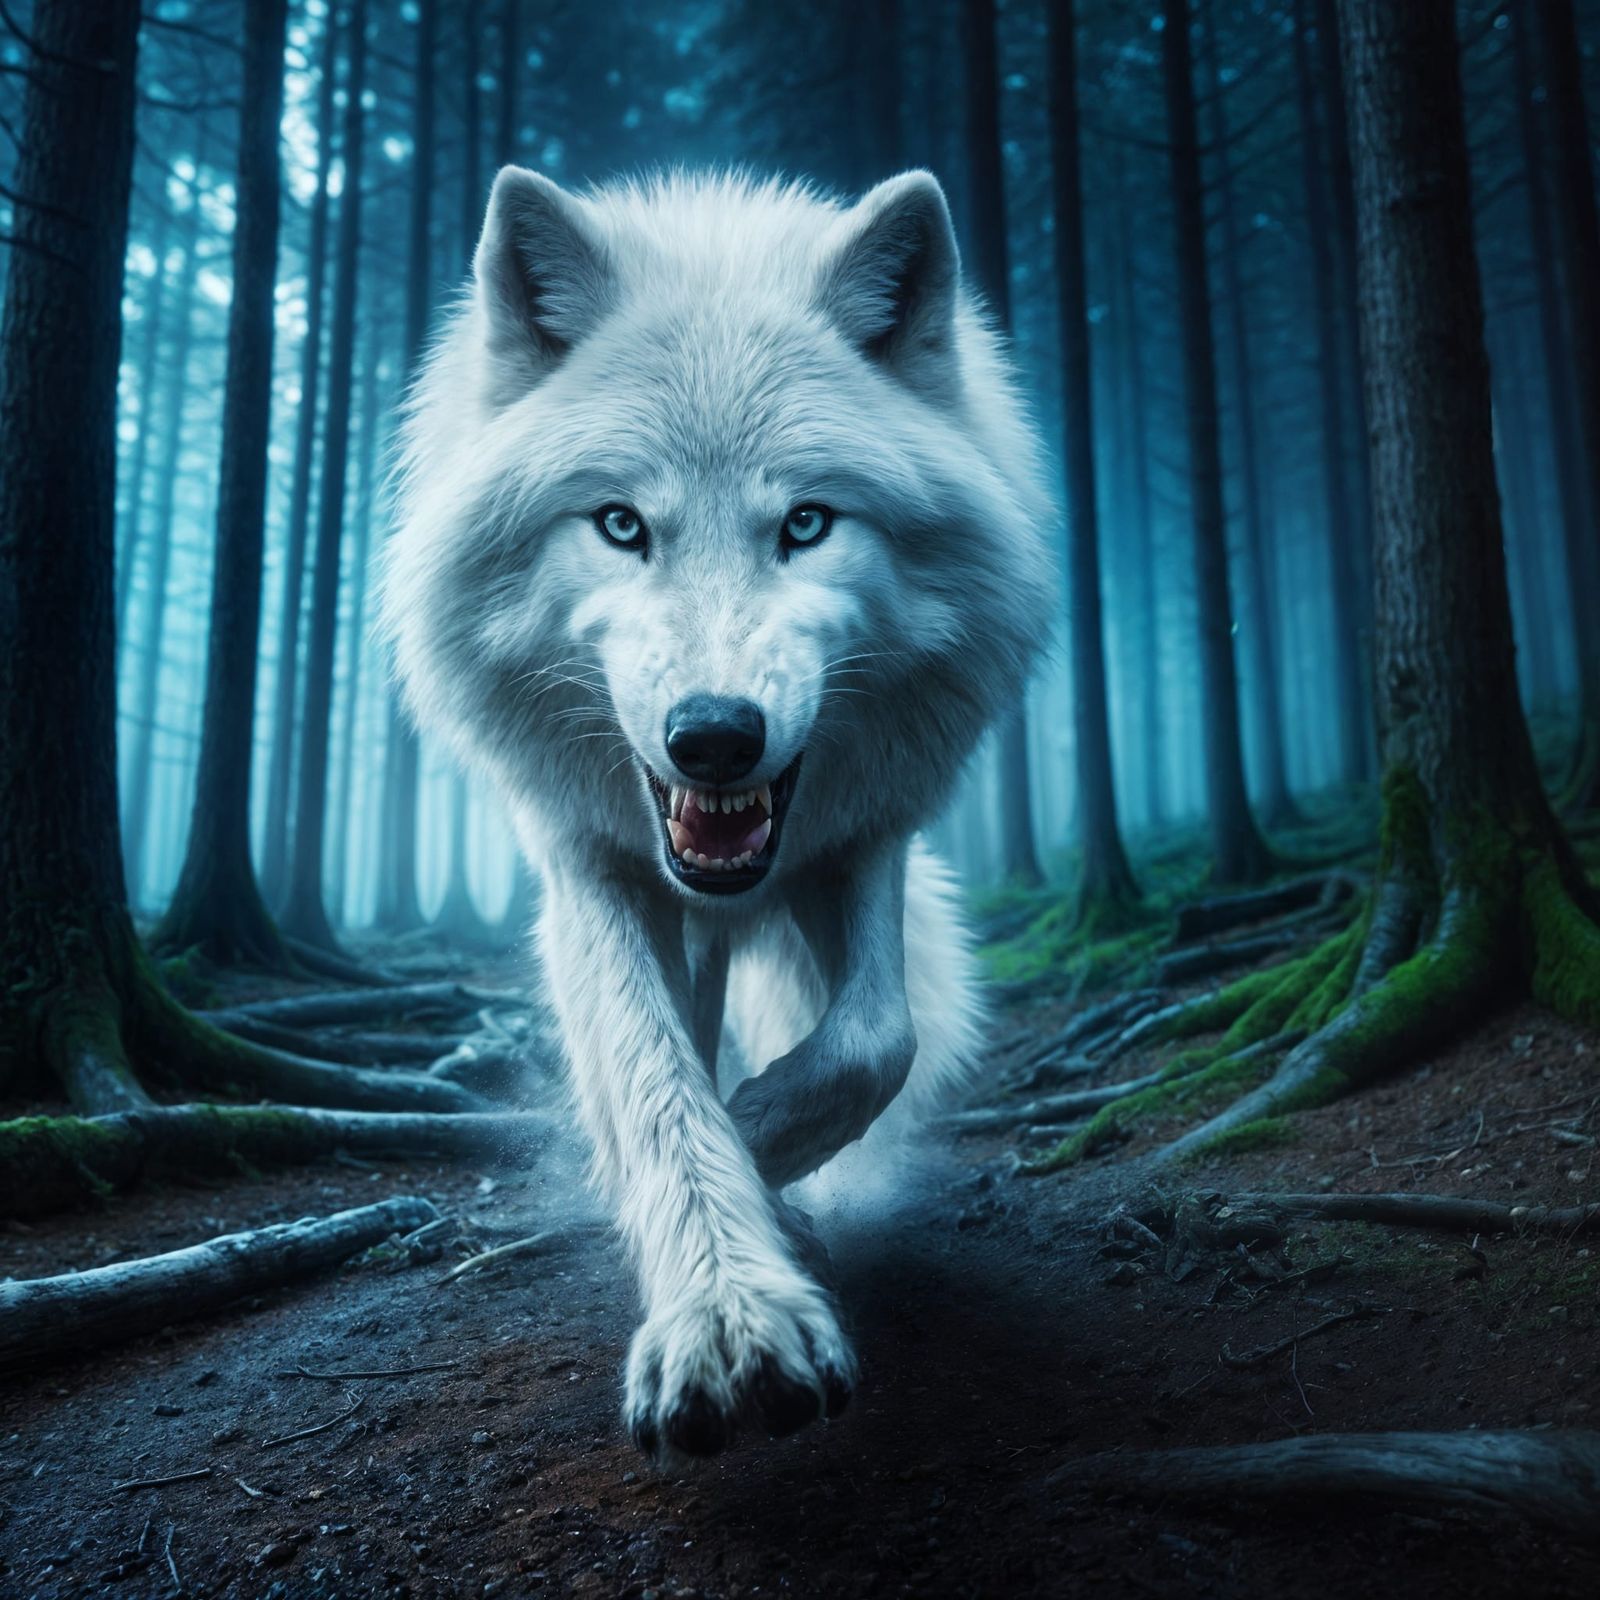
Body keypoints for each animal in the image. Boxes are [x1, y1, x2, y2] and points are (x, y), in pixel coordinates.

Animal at [382, 166, 1054, 1461]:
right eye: (620, 524)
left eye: (805, 523)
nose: (714, 735)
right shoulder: (590, 863)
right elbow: (655, 1078)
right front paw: (729, 1309)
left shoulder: (869, 831)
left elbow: (871, 1038)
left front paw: (760, 1151)